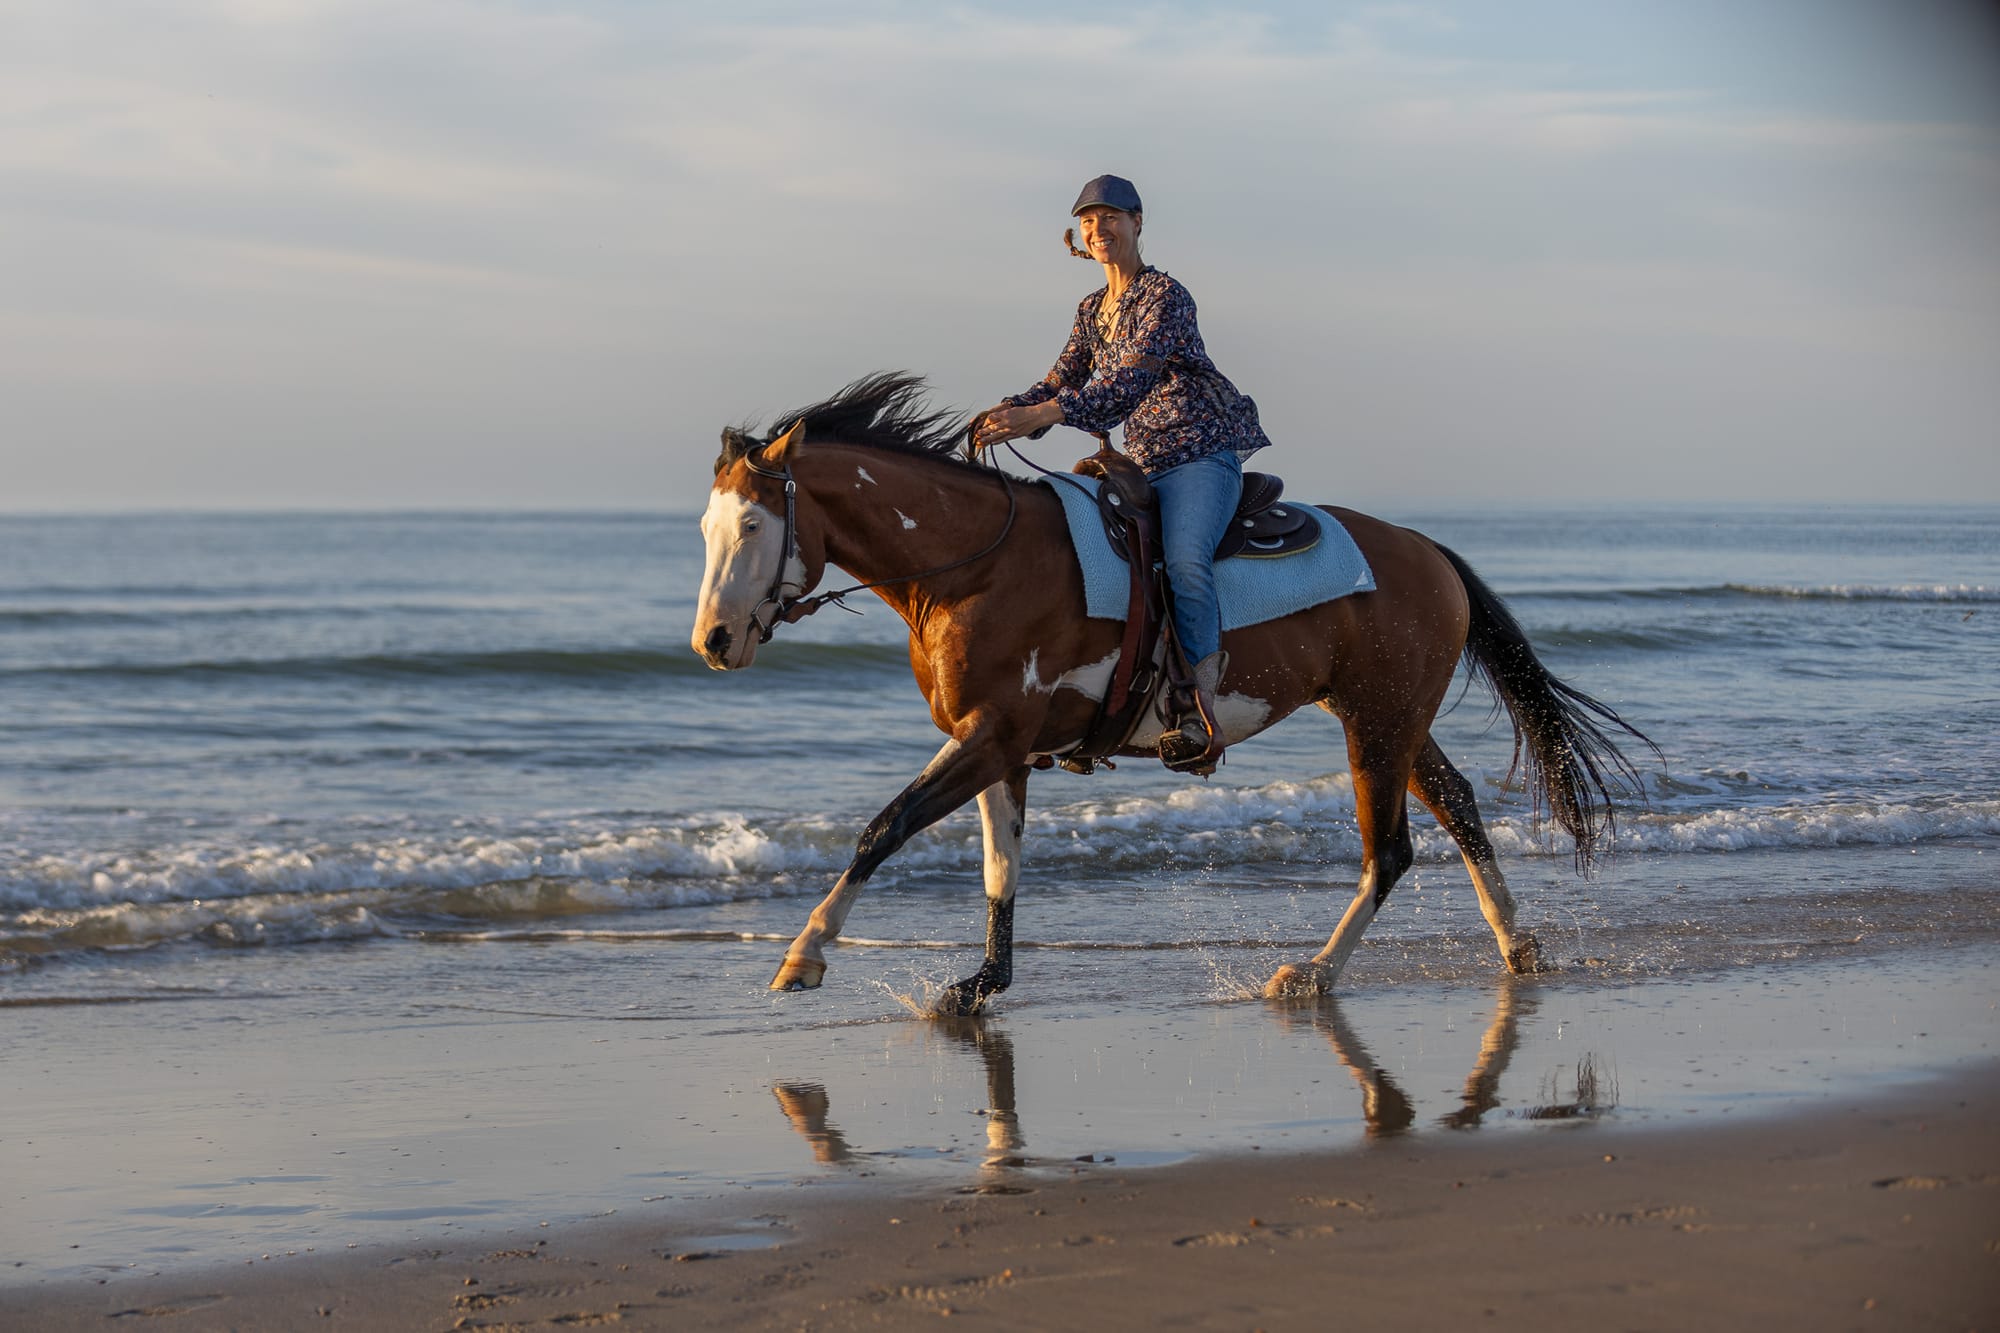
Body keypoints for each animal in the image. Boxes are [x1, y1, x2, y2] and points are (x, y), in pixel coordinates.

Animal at [691, 374, 1654, 1015]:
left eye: (753, 524)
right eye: (706, 526)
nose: (713, 641)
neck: (977, 568)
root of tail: (1429, 553)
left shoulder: (992, 735)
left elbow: (884, 826)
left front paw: (804, 955)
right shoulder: (1001, 745)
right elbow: (1001, 868)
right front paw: (981, 982)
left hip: (1379, 726)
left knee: (1391, 850)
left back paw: (1312, 972)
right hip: (1388, 717)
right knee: (1457, 807)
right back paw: (1516, 944)